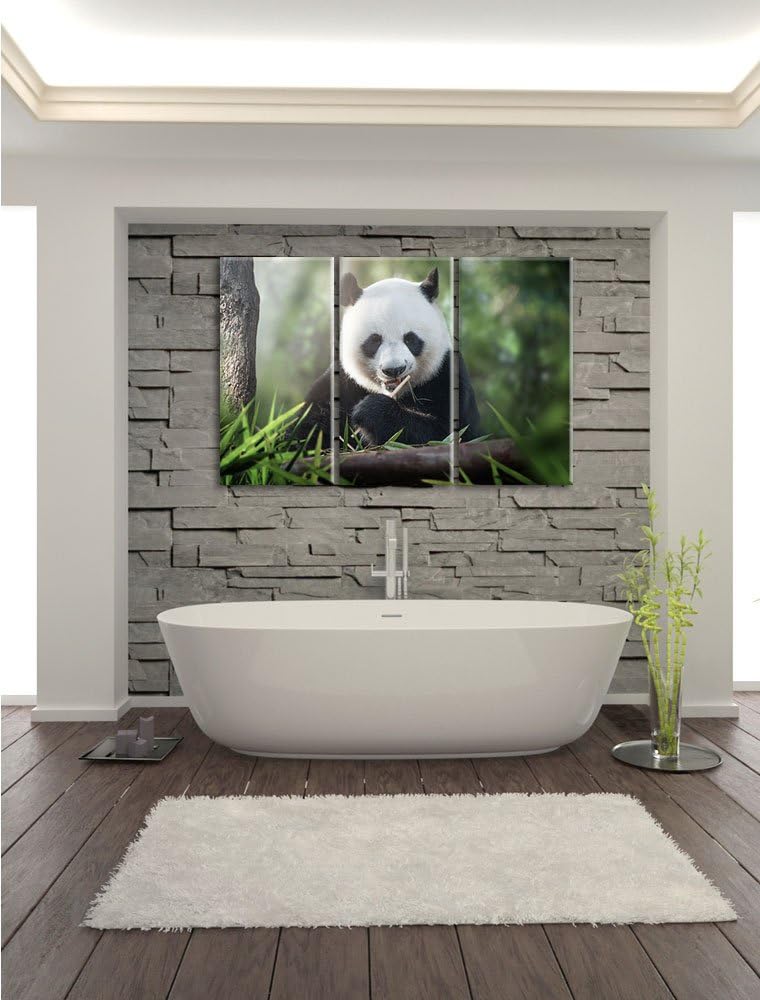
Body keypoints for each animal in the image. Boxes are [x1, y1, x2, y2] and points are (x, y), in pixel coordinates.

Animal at [305, 267, 481, 448]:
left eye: (410, 339)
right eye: (374, 340)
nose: (394, 370)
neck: (395, 393)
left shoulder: (445, 377)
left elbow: (445, 434)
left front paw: (371, 411)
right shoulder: (344, 382)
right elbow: (311, 424)